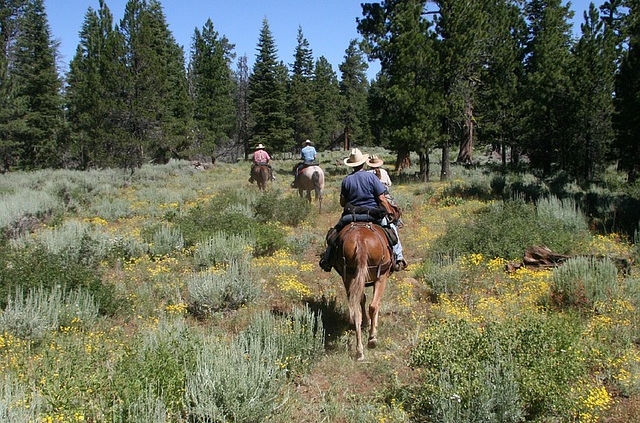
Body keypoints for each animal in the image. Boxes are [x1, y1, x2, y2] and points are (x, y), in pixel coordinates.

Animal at [330, 222, 396, 362]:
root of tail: (360, 240)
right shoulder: (380, 279)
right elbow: (376, 304)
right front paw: (373, 328)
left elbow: (362, 300)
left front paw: (366, 323)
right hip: (381, 277)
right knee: (373, 305)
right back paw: (372, 340)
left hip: (349, 277)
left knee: (356, 312)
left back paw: (359, 351)